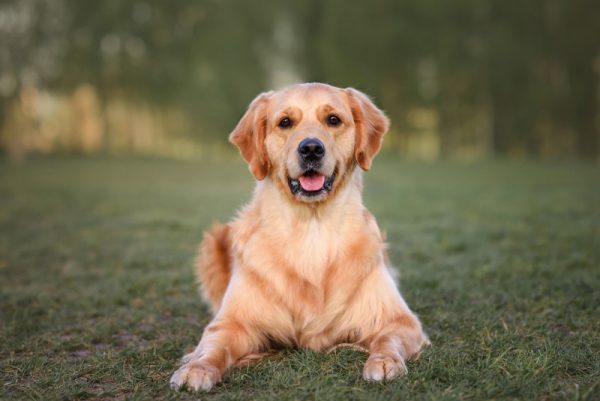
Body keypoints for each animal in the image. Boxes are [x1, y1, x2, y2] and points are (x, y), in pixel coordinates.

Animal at [171, 82, 428, 390]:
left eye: (333, 119)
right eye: (285, 122)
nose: (311, 148)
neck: (311, 228)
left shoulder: (401, 321)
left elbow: (387, 339)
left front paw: (384, 362)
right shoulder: (231, 322)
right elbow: (213, 347)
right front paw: (196, 368)